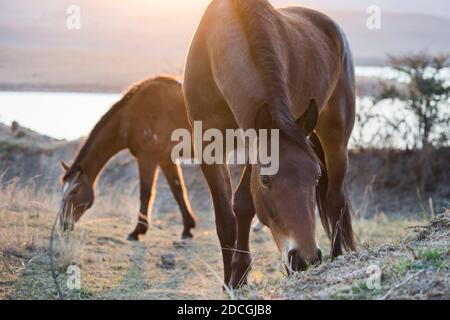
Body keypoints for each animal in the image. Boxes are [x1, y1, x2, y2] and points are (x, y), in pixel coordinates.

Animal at [59, 75, 196, 240]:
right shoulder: (166, 160)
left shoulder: (147, 158)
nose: (64, 224)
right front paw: (188, 228)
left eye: (75, 191)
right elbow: (178, 191)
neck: (130, 114)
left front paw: (137, 231)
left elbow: (146, 193)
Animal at [183, 0, 356, 288]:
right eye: (265, 180)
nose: (306, 258)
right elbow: (226, 218)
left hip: (336, 138)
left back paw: (337, 257)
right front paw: (230, 281)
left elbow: (244, 204)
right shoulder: (209, 145)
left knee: (335, 199)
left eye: (315, 177)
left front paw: (239, 273)